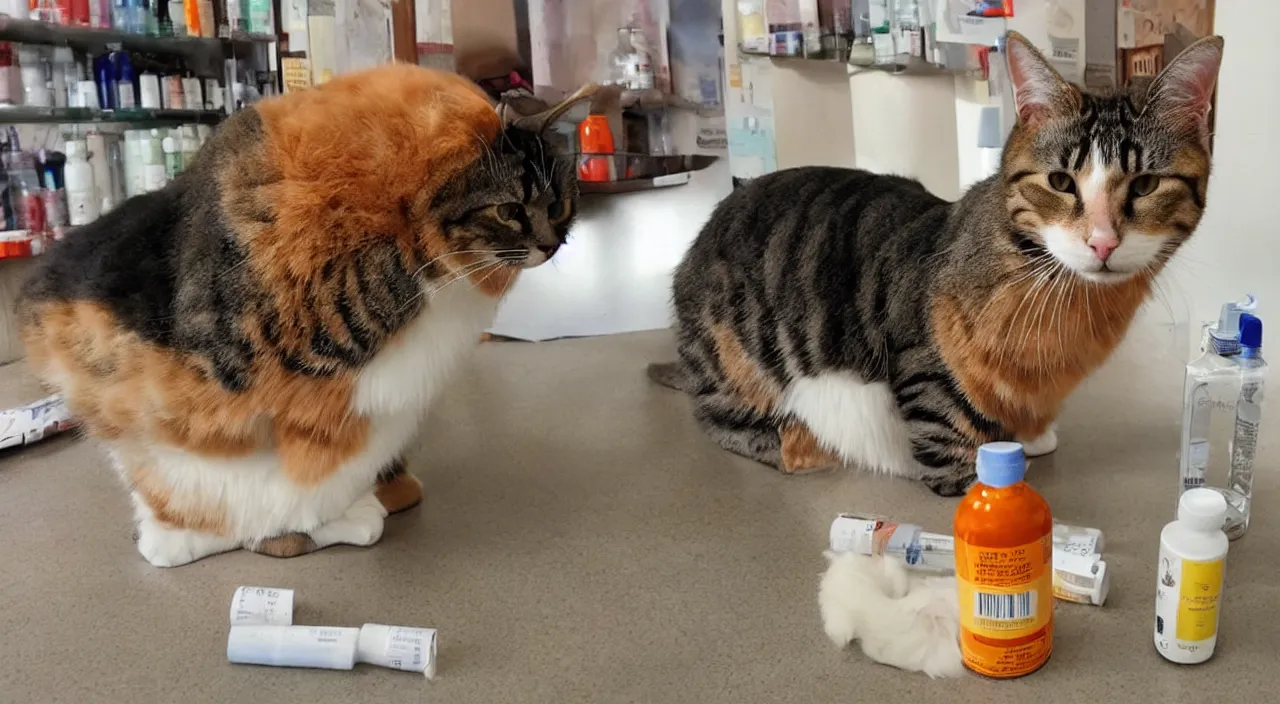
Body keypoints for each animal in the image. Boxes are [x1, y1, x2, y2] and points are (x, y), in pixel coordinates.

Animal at [18, 64, 593, 568]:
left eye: (560, 205)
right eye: (508, 211)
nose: (550, 244)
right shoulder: (254, 329)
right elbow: (385, 274)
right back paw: (188, 539)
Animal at [645, 33, 1223, 496]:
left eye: (1145, 185)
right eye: (1061, 182)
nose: (1102, 242)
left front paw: (1033, 437)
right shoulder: (923, 362)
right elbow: (950, 438)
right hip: (734, 352)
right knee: (721, 415)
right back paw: (798, 442)